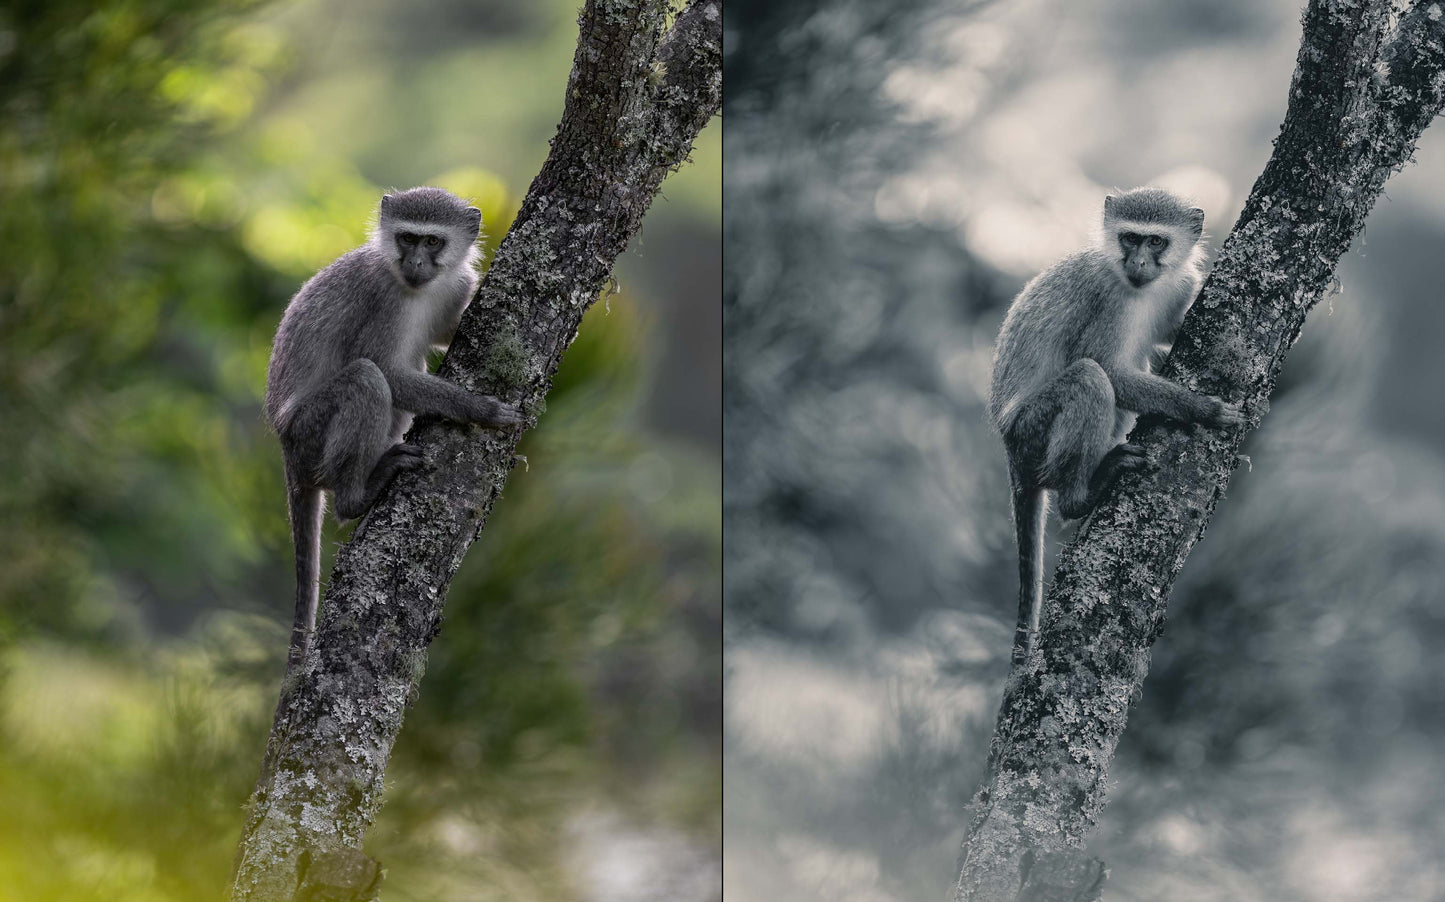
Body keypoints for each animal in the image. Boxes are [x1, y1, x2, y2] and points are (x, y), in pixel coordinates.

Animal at [264, 186, 523, 669]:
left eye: (432, 242)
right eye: (407, 238)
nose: (416, 263)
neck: (418, 289)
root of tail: (285, 446)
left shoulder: (455, 284)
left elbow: (440, 335)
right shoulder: (382, 297)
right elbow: (384, 368)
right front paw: (480, 409)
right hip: (308, 432)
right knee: (368, 378)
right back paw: (356, 495)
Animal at [987, 187, 1243, 664]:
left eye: (1156, 241)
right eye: (1130, 238)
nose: (1139, 262)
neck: (1143, 290)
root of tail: (1007, 445)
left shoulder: (1178, 285)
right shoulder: (1106, 299)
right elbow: (1107, 367)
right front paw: (1203, 409)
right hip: (1031, 429)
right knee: (1091, 378)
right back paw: (1080, 497)